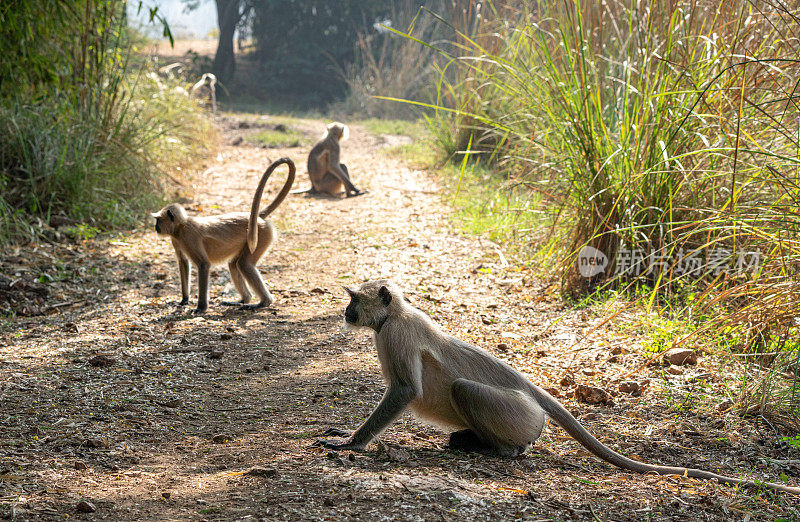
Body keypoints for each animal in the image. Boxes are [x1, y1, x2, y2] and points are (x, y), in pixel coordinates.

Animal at [150, 156, 294, 310]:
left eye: (158, 220)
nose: (155, 226)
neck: (181, 226)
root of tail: (257, 218)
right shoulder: (176, 239)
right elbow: (183, 262)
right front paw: (185, 299)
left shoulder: (189, 236)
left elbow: (203, 264)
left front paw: (201, 308)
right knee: (234, 264)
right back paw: (244, 299)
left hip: (261, 235)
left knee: (244, 264)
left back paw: (263, 302)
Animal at [318, 276, 800, 492]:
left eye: (353, 301)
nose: (345, 313)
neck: (393, 315)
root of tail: (534, 391)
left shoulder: (396, 336)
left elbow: (405, 392)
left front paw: (350, 443)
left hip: (519, 414)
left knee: (466, 391)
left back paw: (500, 450)